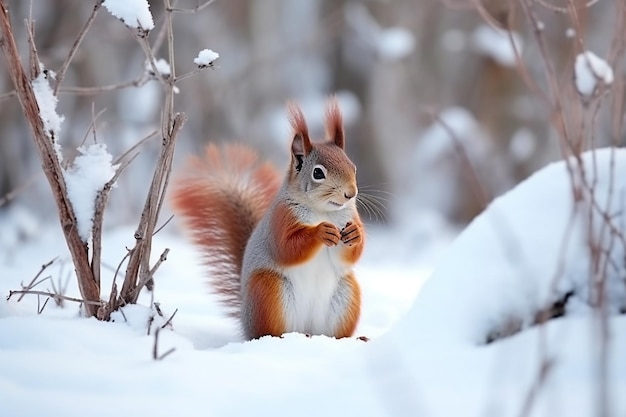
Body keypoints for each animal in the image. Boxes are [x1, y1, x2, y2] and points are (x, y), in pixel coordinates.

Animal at [173, 97, 364, 338]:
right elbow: (286, 248)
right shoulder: (281, 219)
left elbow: (348, 256)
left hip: (346, 295)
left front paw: (355, 234)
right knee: (268, 331)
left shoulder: (348, 218)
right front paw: (320, 232)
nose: (351, 193)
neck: (323, 211)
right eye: (318, 173)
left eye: (353, 167)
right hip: (269, 291)